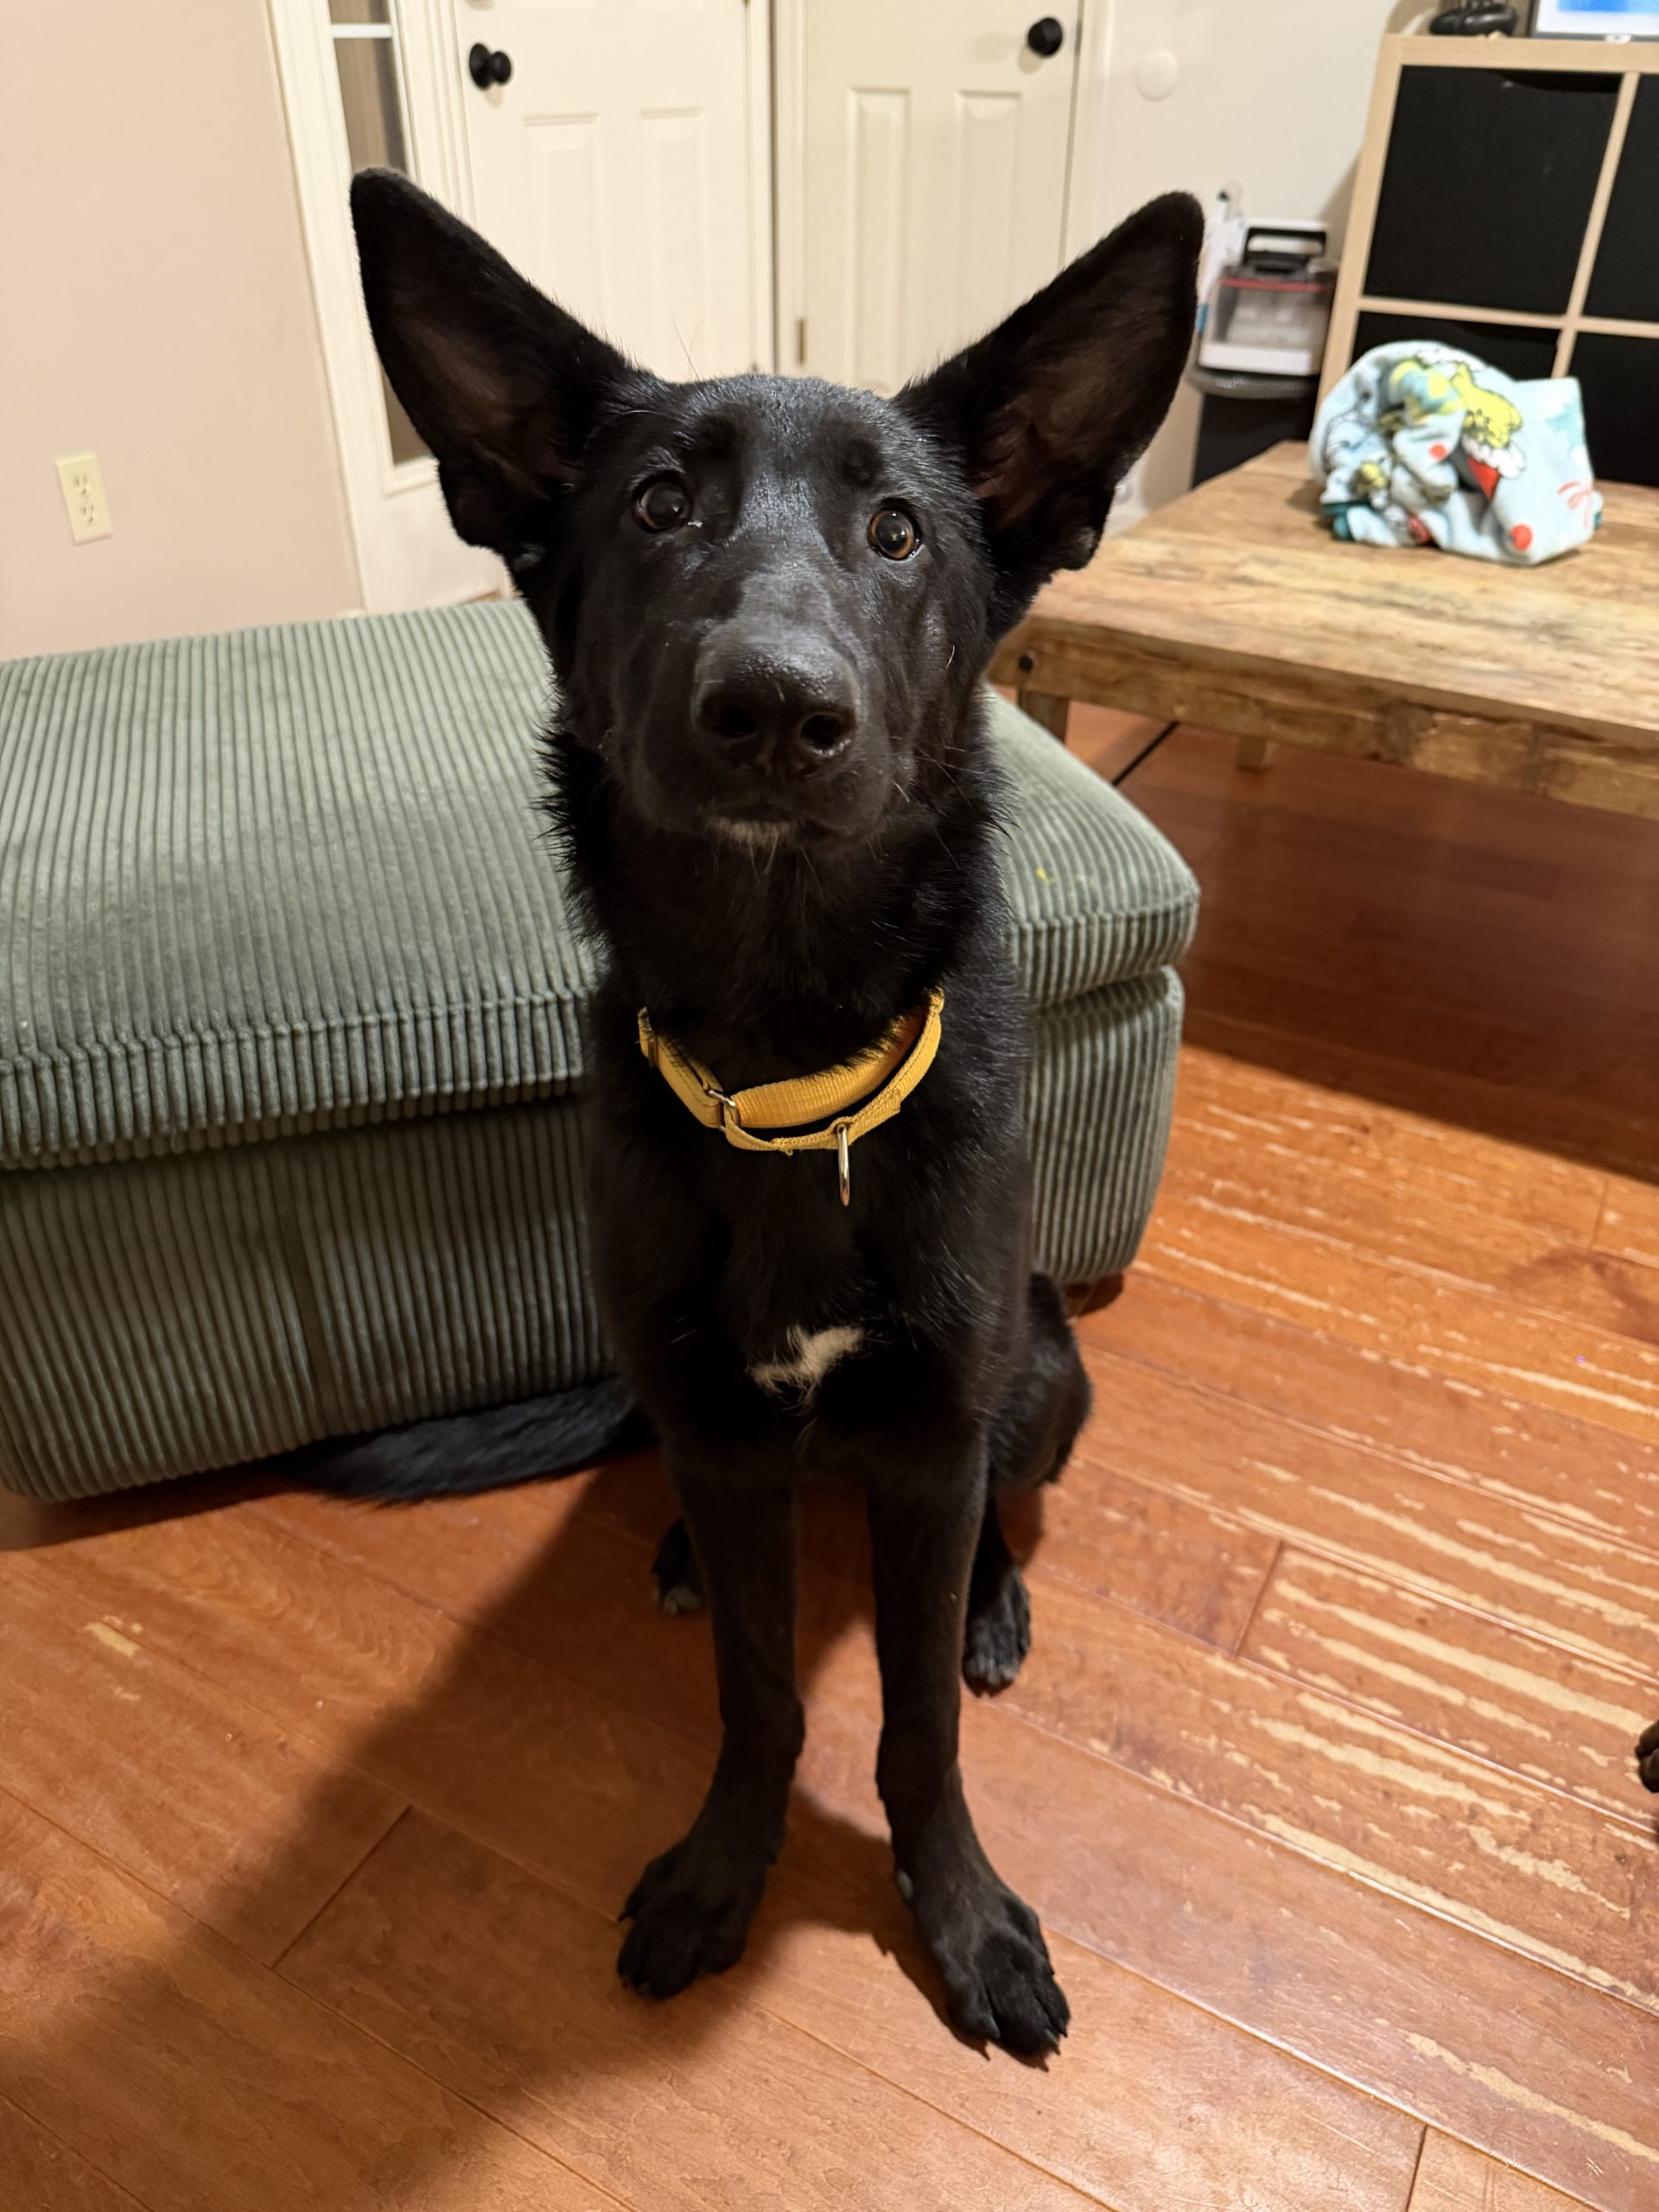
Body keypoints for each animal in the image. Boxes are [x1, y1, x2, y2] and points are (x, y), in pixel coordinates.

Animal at [351, 168, 1200, 2053]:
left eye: (898, 535)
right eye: (660, 505)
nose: (774, 707)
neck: (786, 1063)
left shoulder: (940, 1428)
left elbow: (915, 1721)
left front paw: (958, 1914)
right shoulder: (725, 1434)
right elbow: (758, 1694)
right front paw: (724, 1867)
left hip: (1043, 1375)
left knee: (987, 1519)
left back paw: (993, 1605)